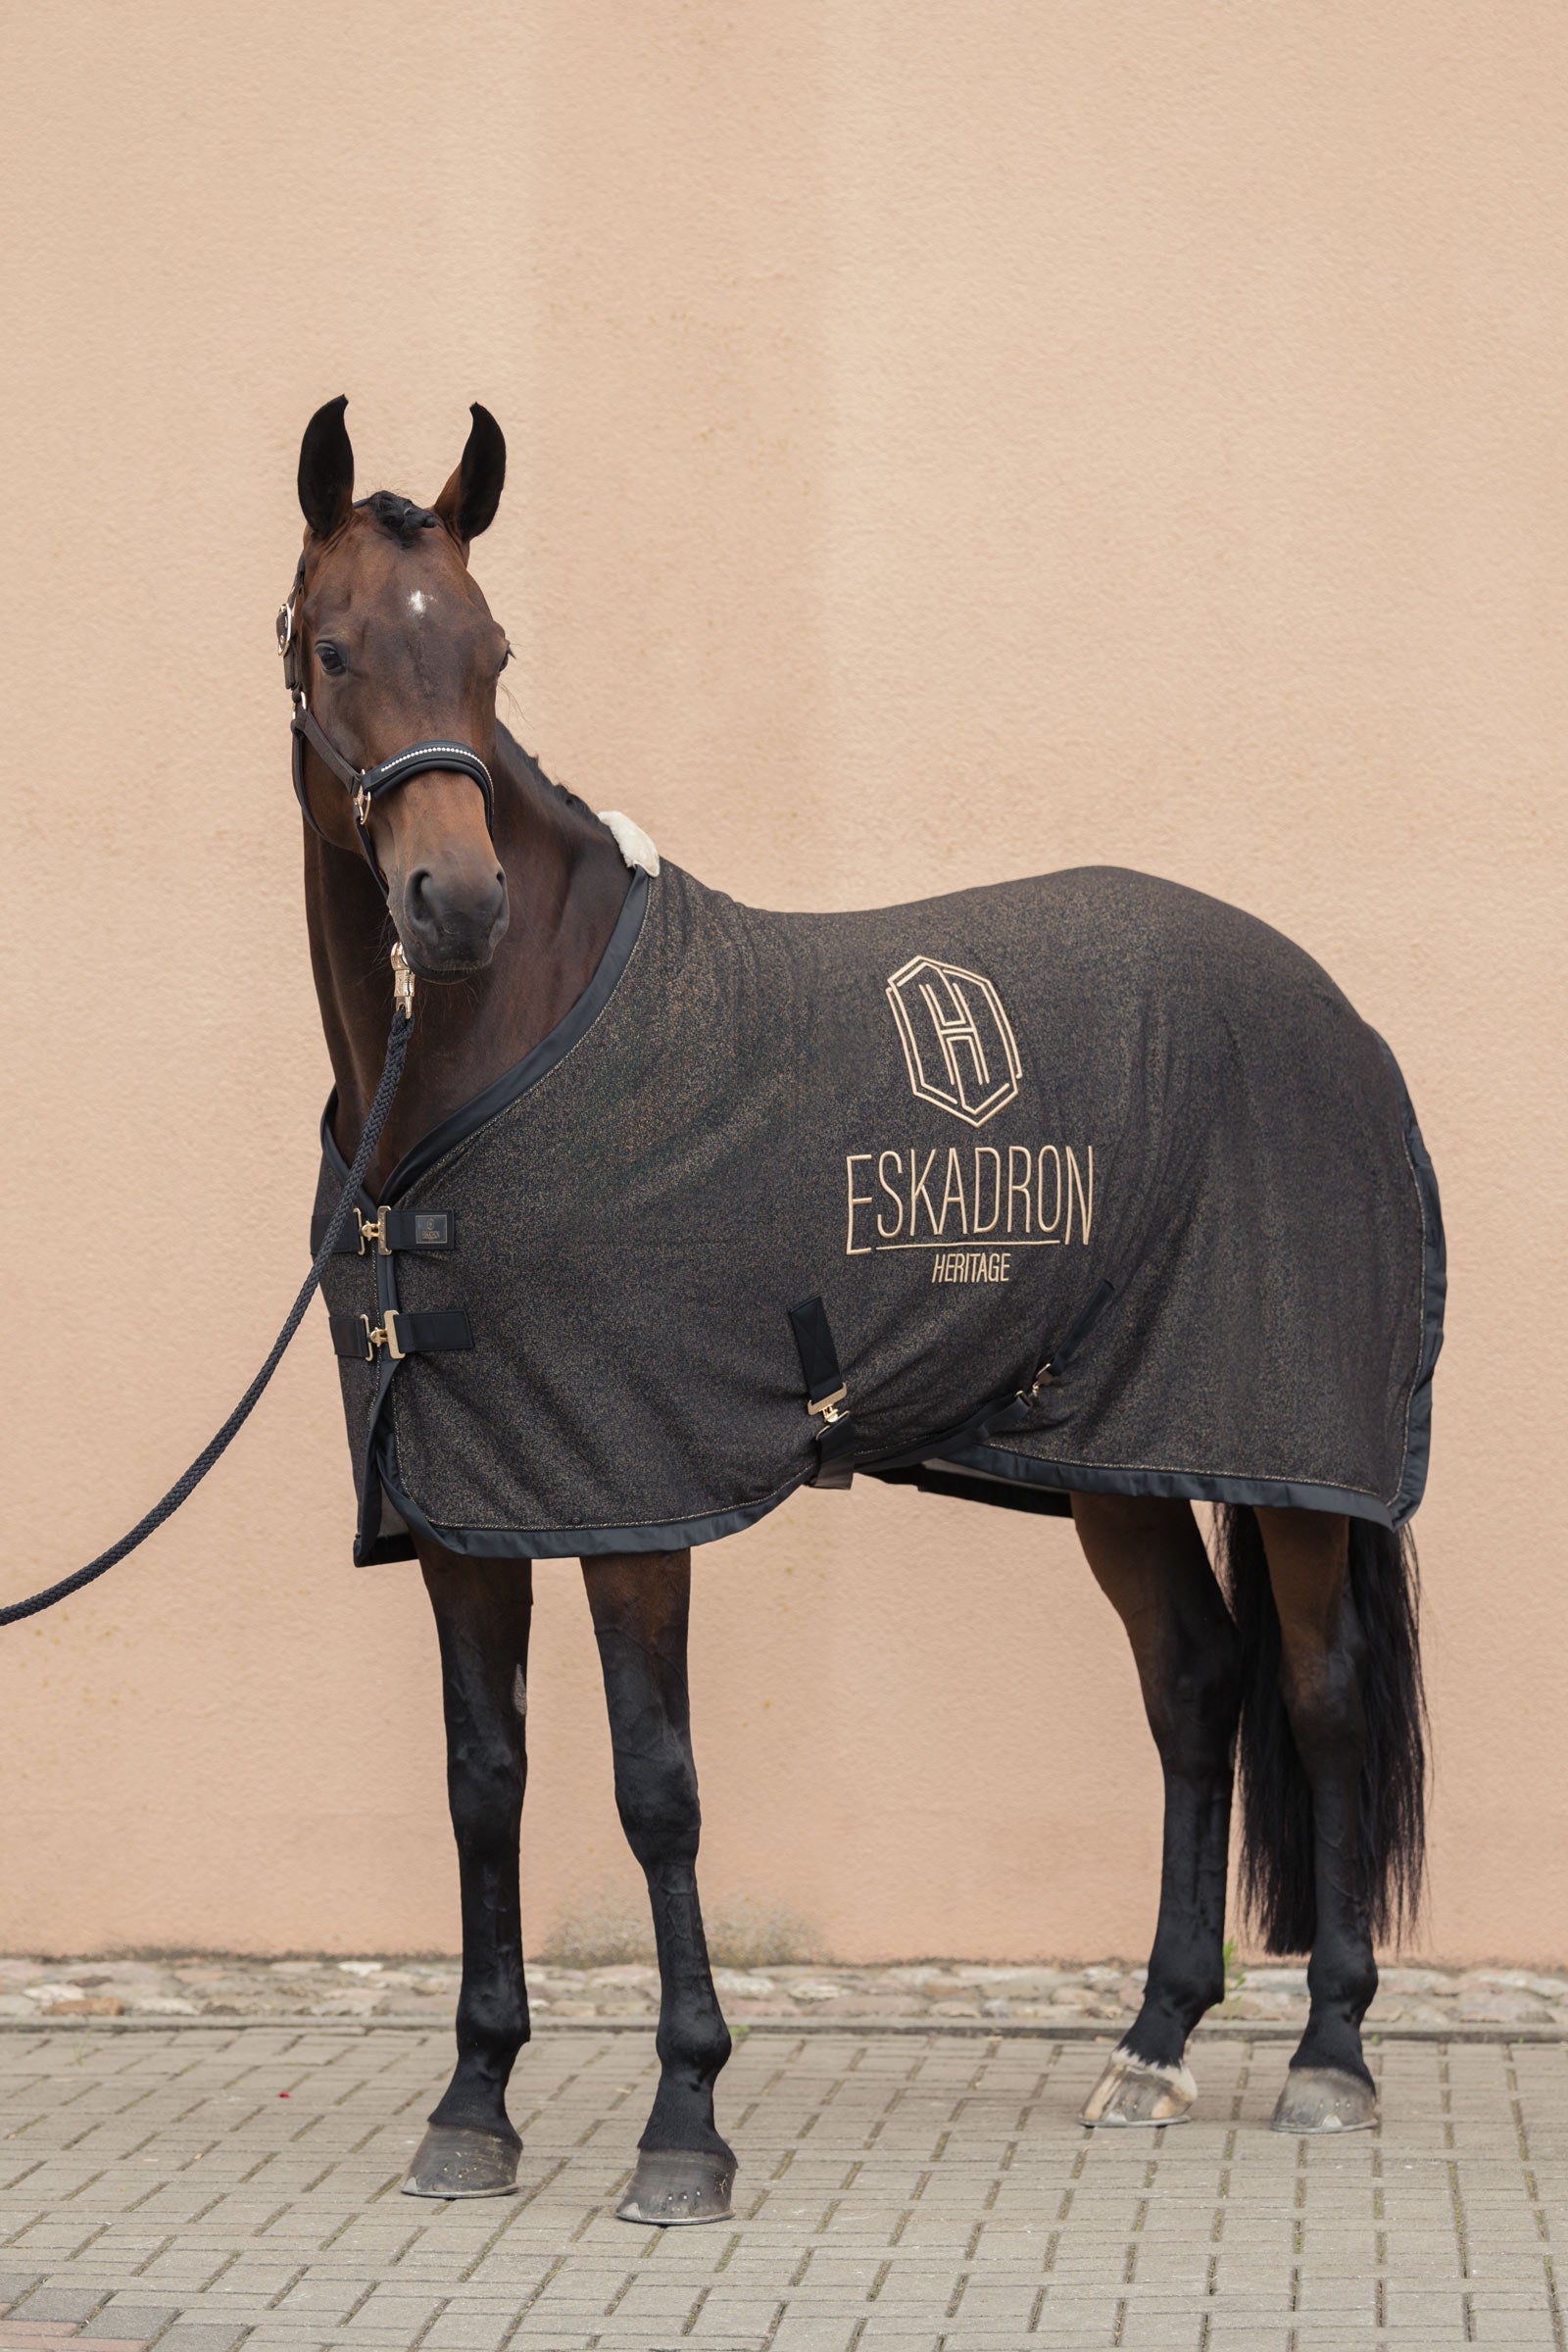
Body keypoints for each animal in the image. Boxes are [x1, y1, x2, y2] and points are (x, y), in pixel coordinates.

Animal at [285, 396, 1435, 2221]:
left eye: (490, 651)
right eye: (335, 647)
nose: (452, 909)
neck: (491, 1053)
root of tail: (1337, 1017)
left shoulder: (633, 1491)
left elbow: (658, 1790)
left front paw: (686, 2123)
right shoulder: (466, 1498)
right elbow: (488, 1785)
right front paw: (472, 2105)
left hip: (1286, 1459)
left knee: (1313, 1701)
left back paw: (1329, 2058)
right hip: (1112, 1456)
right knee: (1195, 1688)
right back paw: (1152, 2046)